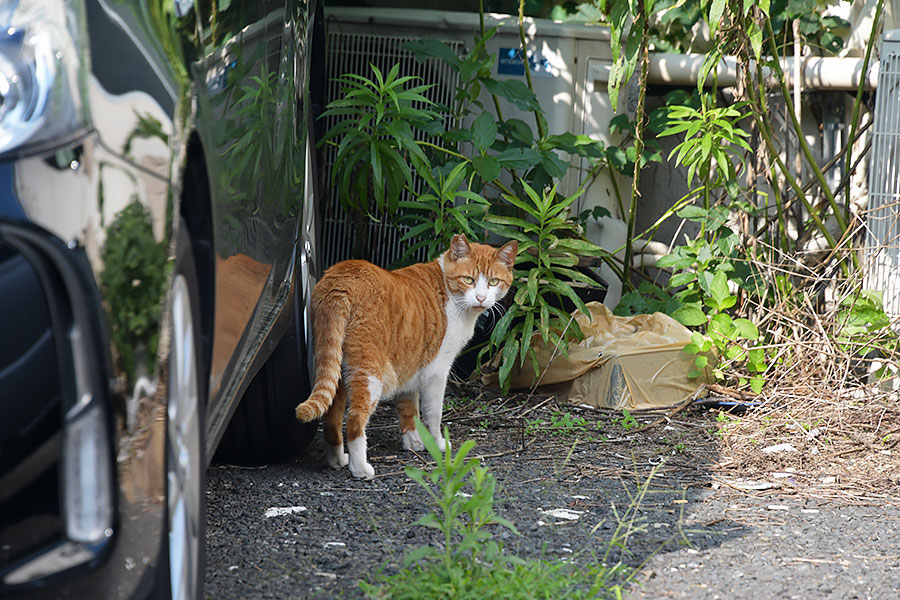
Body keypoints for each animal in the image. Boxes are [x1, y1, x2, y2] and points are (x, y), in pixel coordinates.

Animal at [296, 233, 516, 478]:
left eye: (493, 282)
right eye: (468, 280)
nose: (481, 298)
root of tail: (343, 277)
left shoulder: (410, 362)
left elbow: (409, 408)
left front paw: (413, 442)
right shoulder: (437, 371)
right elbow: (433, 413)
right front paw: (438, 443)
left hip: (339, 369)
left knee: (331, 417)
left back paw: (337, 459)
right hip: (369, 371)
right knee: (354, 418)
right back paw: (360, 468)